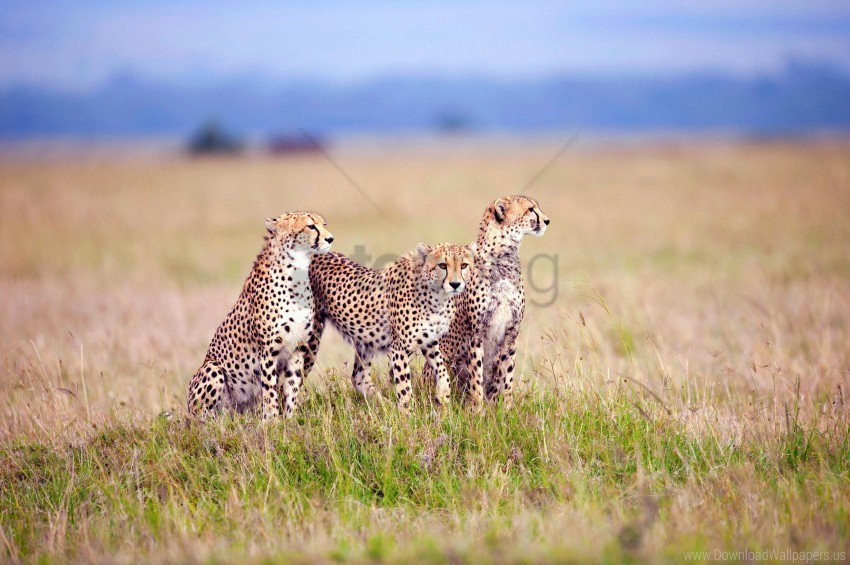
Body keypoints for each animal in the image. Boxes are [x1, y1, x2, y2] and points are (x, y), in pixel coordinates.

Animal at [187, 212, 332, 418]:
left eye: (324, 224)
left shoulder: (297, 350)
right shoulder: (268, 351)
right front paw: (271, 421)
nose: (330, 239)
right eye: (311, 226)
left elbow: (292, 388)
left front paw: (290, 419)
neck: (297, 275)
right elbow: (270, 390)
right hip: (212, 368)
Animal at [304, 242, 476, 410]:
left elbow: (442, 370)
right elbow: (404, 388)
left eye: (464, 265)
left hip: (366, 341)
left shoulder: (429, 341)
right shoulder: (400, 348)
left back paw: (386, 406)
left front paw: (443, 397)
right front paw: (407, 415)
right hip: (311, 338)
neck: (437, 295)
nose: (455, 284)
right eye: (442, 265)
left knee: (359, 377)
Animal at [424, 194, 548, 406]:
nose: (547, 221)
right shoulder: (477, 333)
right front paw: (478, 409)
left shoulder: (511, 332)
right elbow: (476, 377)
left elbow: (507, 376)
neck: (504, 257)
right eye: (531, 209)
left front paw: (506, 408)